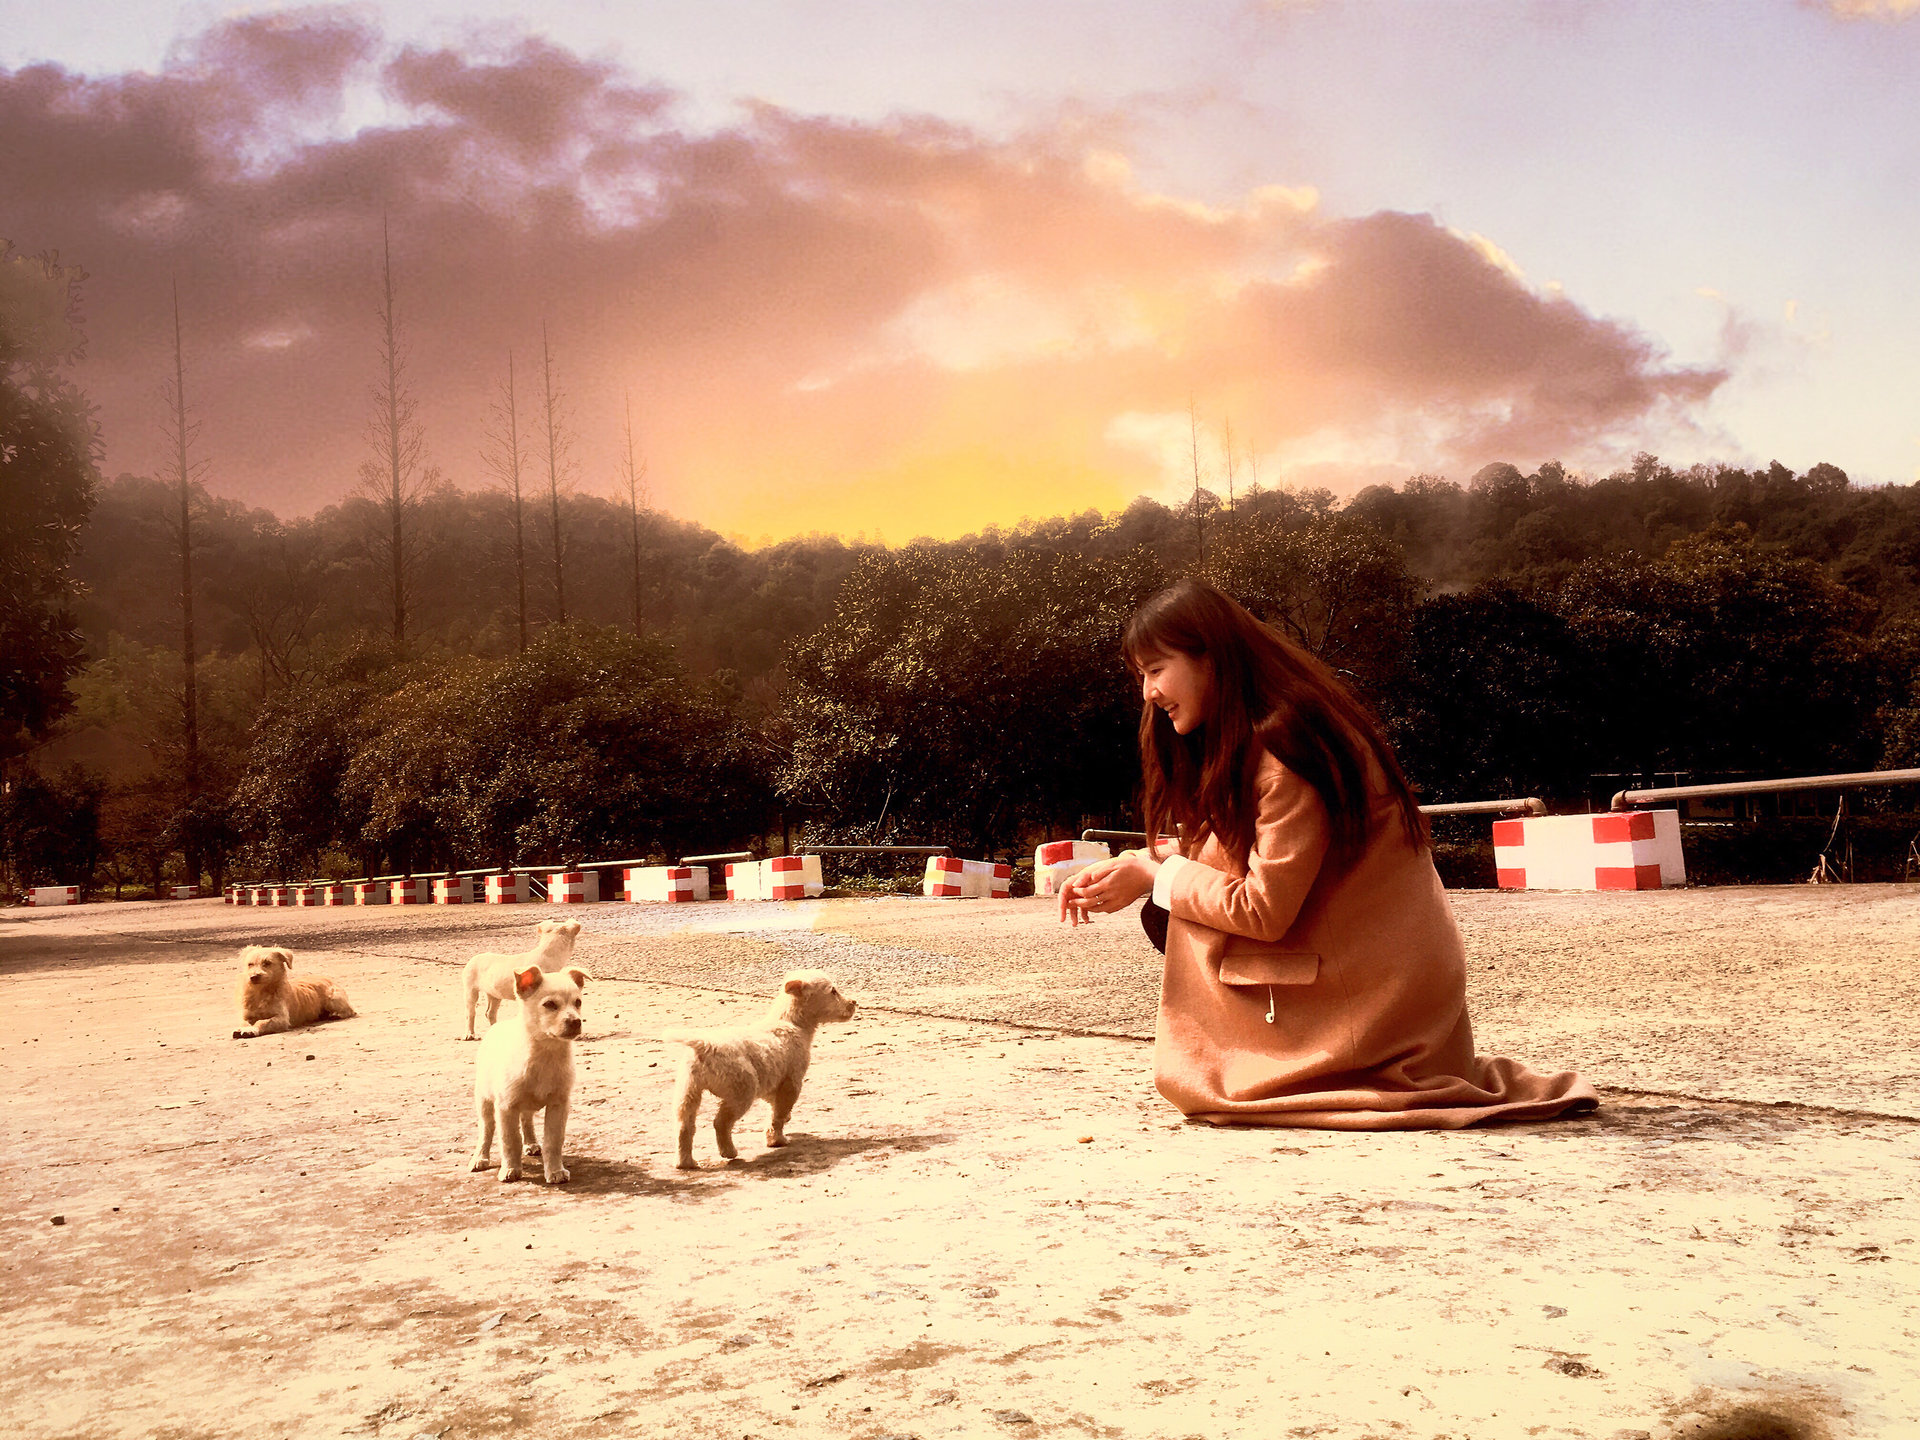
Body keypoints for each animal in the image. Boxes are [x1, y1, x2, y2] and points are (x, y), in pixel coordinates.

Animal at [468, 971, 587, 1182]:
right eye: (550, 1004)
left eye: (578, 1002)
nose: (575, 1022)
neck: (546, 1053)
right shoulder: (506, 1107)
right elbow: (510, 1140)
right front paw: (510, 1169)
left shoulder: (559, 1105)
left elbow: (553, 1141)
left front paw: (555, 1171)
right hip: (484, 1100)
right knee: (486, 1130)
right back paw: (480, 1158)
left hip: (525, 1103)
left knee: (526, 1120)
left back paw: (531, 1143)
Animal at [668, 971, 864, 1175]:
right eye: (833, 991)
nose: (854, 1003)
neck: (791, 1023)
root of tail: (706, 1046)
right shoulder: (792, 1082)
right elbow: (778, 1114)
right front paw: (776, 1140)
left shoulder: (772, 1082)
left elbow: (774, 1105)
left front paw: (784, 1122)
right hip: (742, 1091)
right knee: (720, 1122)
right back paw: (728, 1151)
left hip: (688, 1092)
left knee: (684, 1127)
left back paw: (685, 1163)